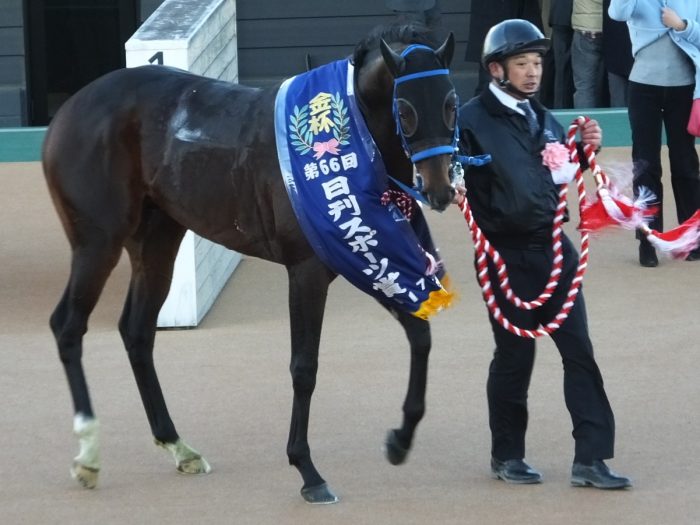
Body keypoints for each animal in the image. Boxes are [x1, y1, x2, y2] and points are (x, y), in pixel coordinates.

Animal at [45, 22, 460, 502]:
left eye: (451, 104)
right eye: (406, 110)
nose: (440, 189)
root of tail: (69, 109)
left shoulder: (366, 252)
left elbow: (420, 335)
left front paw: (400, 439)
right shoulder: (308, 269)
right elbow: (304, 366)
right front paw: (307, 470)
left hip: (157, 240)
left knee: (137, 331)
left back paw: (178, 445)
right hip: (97, 242)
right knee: (68, 326)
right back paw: (89, 455)